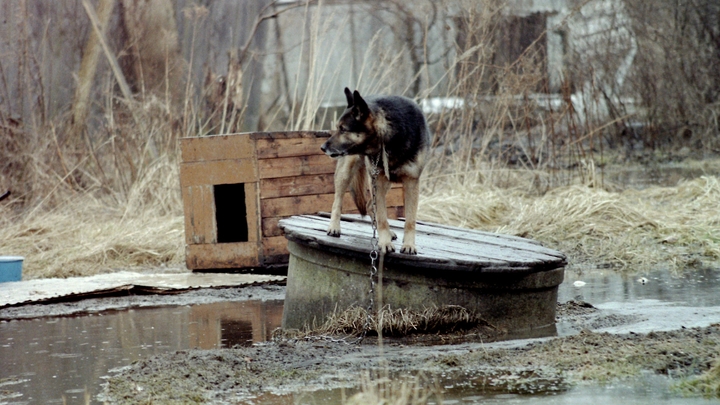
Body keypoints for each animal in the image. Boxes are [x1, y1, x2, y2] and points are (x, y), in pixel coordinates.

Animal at [320, 87, 428, 254]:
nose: (323, 147)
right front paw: (384, 243)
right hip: (347, 173)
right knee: (338, 201)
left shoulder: (411, 182)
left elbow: (410, 220)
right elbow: (382, 217)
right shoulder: (379, 180)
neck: (390, 135)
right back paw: (334, 227)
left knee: (370, 205)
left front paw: (409, 245)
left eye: (343, 129)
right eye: (338, 128)